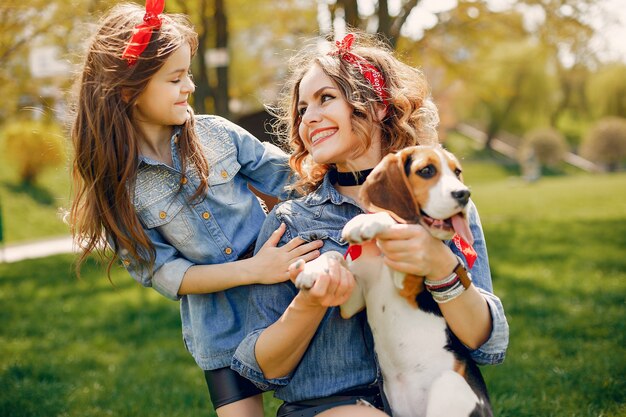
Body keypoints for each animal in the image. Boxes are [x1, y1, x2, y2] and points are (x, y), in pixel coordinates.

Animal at [294, 145, 490, 416]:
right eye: (426, 171)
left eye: (457, 172)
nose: (464, 194)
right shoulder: (352, 301)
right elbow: (334, 256)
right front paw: (316, 270)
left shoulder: (408, 279)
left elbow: (394, 220)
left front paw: (367, 221)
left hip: (449, 383)